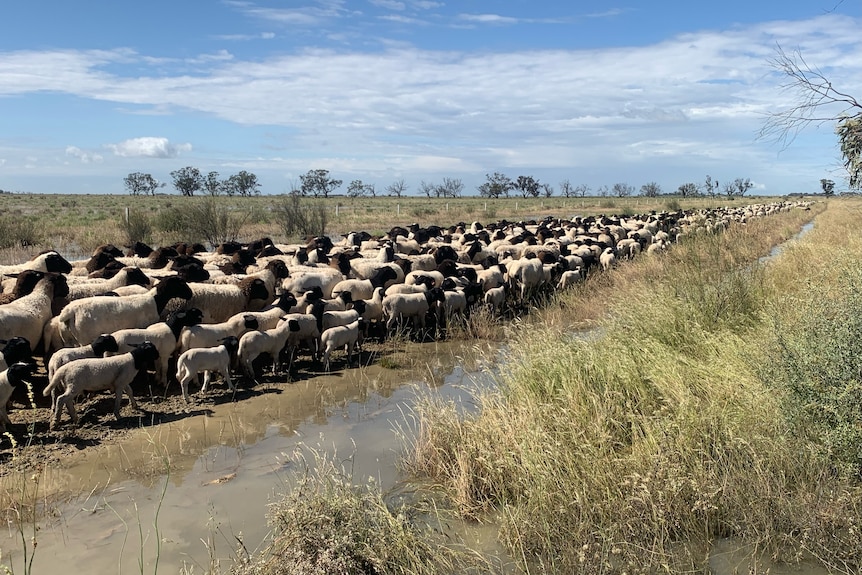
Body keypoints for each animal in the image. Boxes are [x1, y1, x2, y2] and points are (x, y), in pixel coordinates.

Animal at [57, 276, 194, 348]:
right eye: (181, 283)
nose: (190, 294)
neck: (155, 300)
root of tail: (70, 311)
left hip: (68, 339)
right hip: (84, 338)